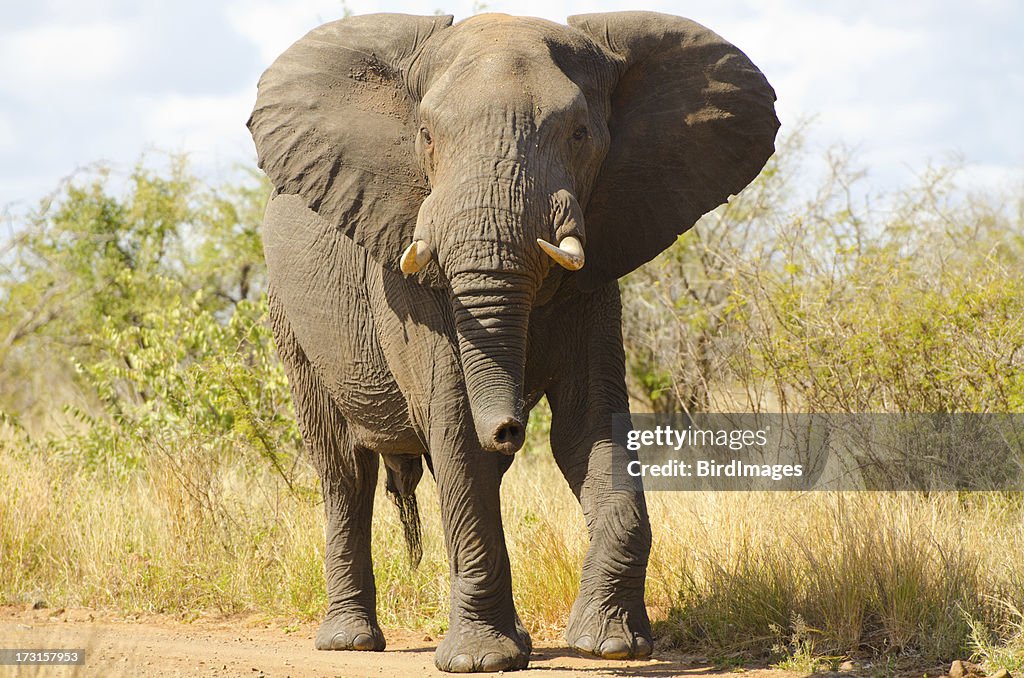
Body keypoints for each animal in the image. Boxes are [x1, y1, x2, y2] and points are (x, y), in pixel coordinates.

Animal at [247, 10, 774, 675]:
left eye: (579, 133)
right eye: (426, 136)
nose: (508, 426)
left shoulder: (598, 270)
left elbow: (588, 427)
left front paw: (611, 645)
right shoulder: (411, 283)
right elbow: (452, 429)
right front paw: (482, 660)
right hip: (290, 323)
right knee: (344, 471)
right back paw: (351, 642)